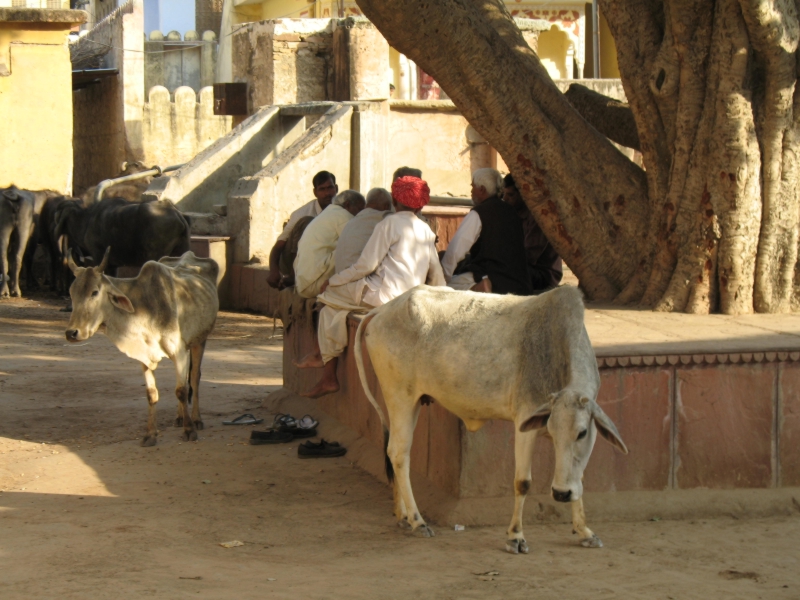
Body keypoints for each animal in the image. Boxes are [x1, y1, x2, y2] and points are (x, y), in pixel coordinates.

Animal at [65, 248, 219, 446]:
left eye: (95, 292)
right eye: (71, 292)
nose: (72, 333)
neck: (144, 308)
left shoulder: (179, 352)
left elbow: (182, 391)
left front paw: (189, 430)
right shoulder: (145, 357)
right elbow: (152, 394)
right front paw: (150, 435)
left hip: (200, 340)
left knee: (193, 378)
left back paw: (196, 419)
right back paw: (179, 418)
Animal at [354, 284, 628, 552]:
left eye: (582, 433)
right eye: (553, 428)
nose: (560, 494)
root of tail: (381, 310)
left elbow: (578, 477)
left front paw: (584, 531)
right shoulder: (525, 423)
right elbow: (522, 482)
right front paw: (515, 536)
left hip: (412, 403)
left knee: (396, 452)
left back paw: (402, 515)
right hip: (399, 397)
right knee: (399, 454)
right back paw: (417, 520)